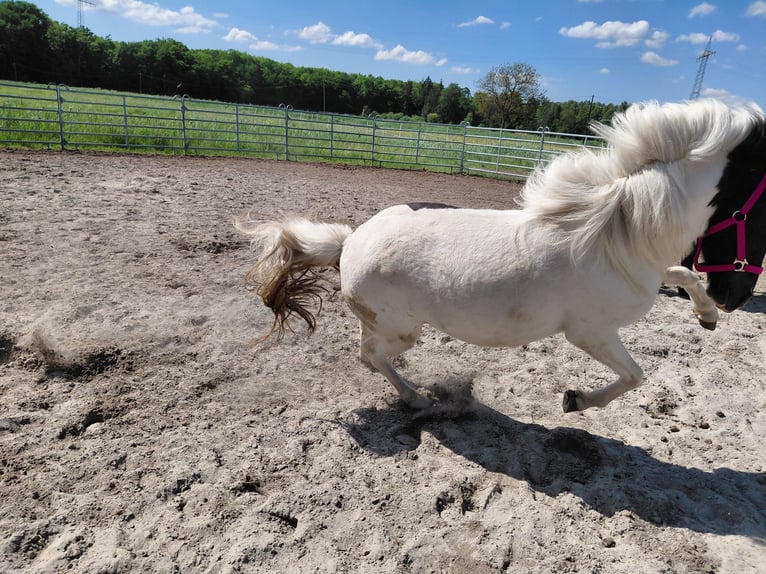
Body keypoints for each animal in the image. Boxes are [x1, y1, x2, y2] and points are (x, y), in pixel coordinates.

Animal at [236, 99, 766, 412]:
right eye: (762, 214)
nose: (737, 297)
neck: (617, 231)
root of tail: (349, 242)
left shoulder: (652, 275)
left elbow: (684, 275)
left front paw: (706, 317)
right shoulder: (591, 332)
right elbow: (635, 375)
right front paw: (576, 400)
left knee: (368, 355)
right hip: (401, 330)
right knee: (369, 355)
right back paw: (418, 399)